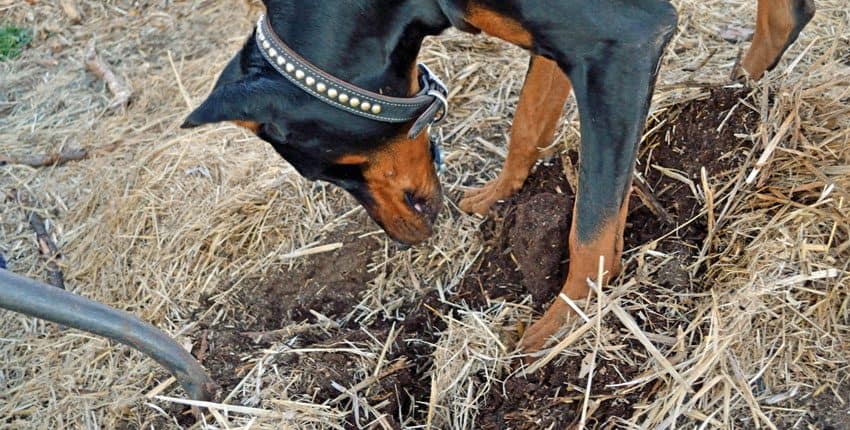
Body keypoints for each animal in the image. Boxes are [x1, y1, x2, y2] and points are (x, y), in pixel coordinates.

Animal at [181, 0, 816, 352]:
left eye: (337, 170)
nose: (403, 240)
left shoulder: (623, 43)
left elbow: (592, 224)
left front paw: (563, 323)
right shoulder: (565, 40)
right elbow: (527, 122)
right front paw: (498, 195)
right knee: (786, 18)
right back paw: (741, 95)